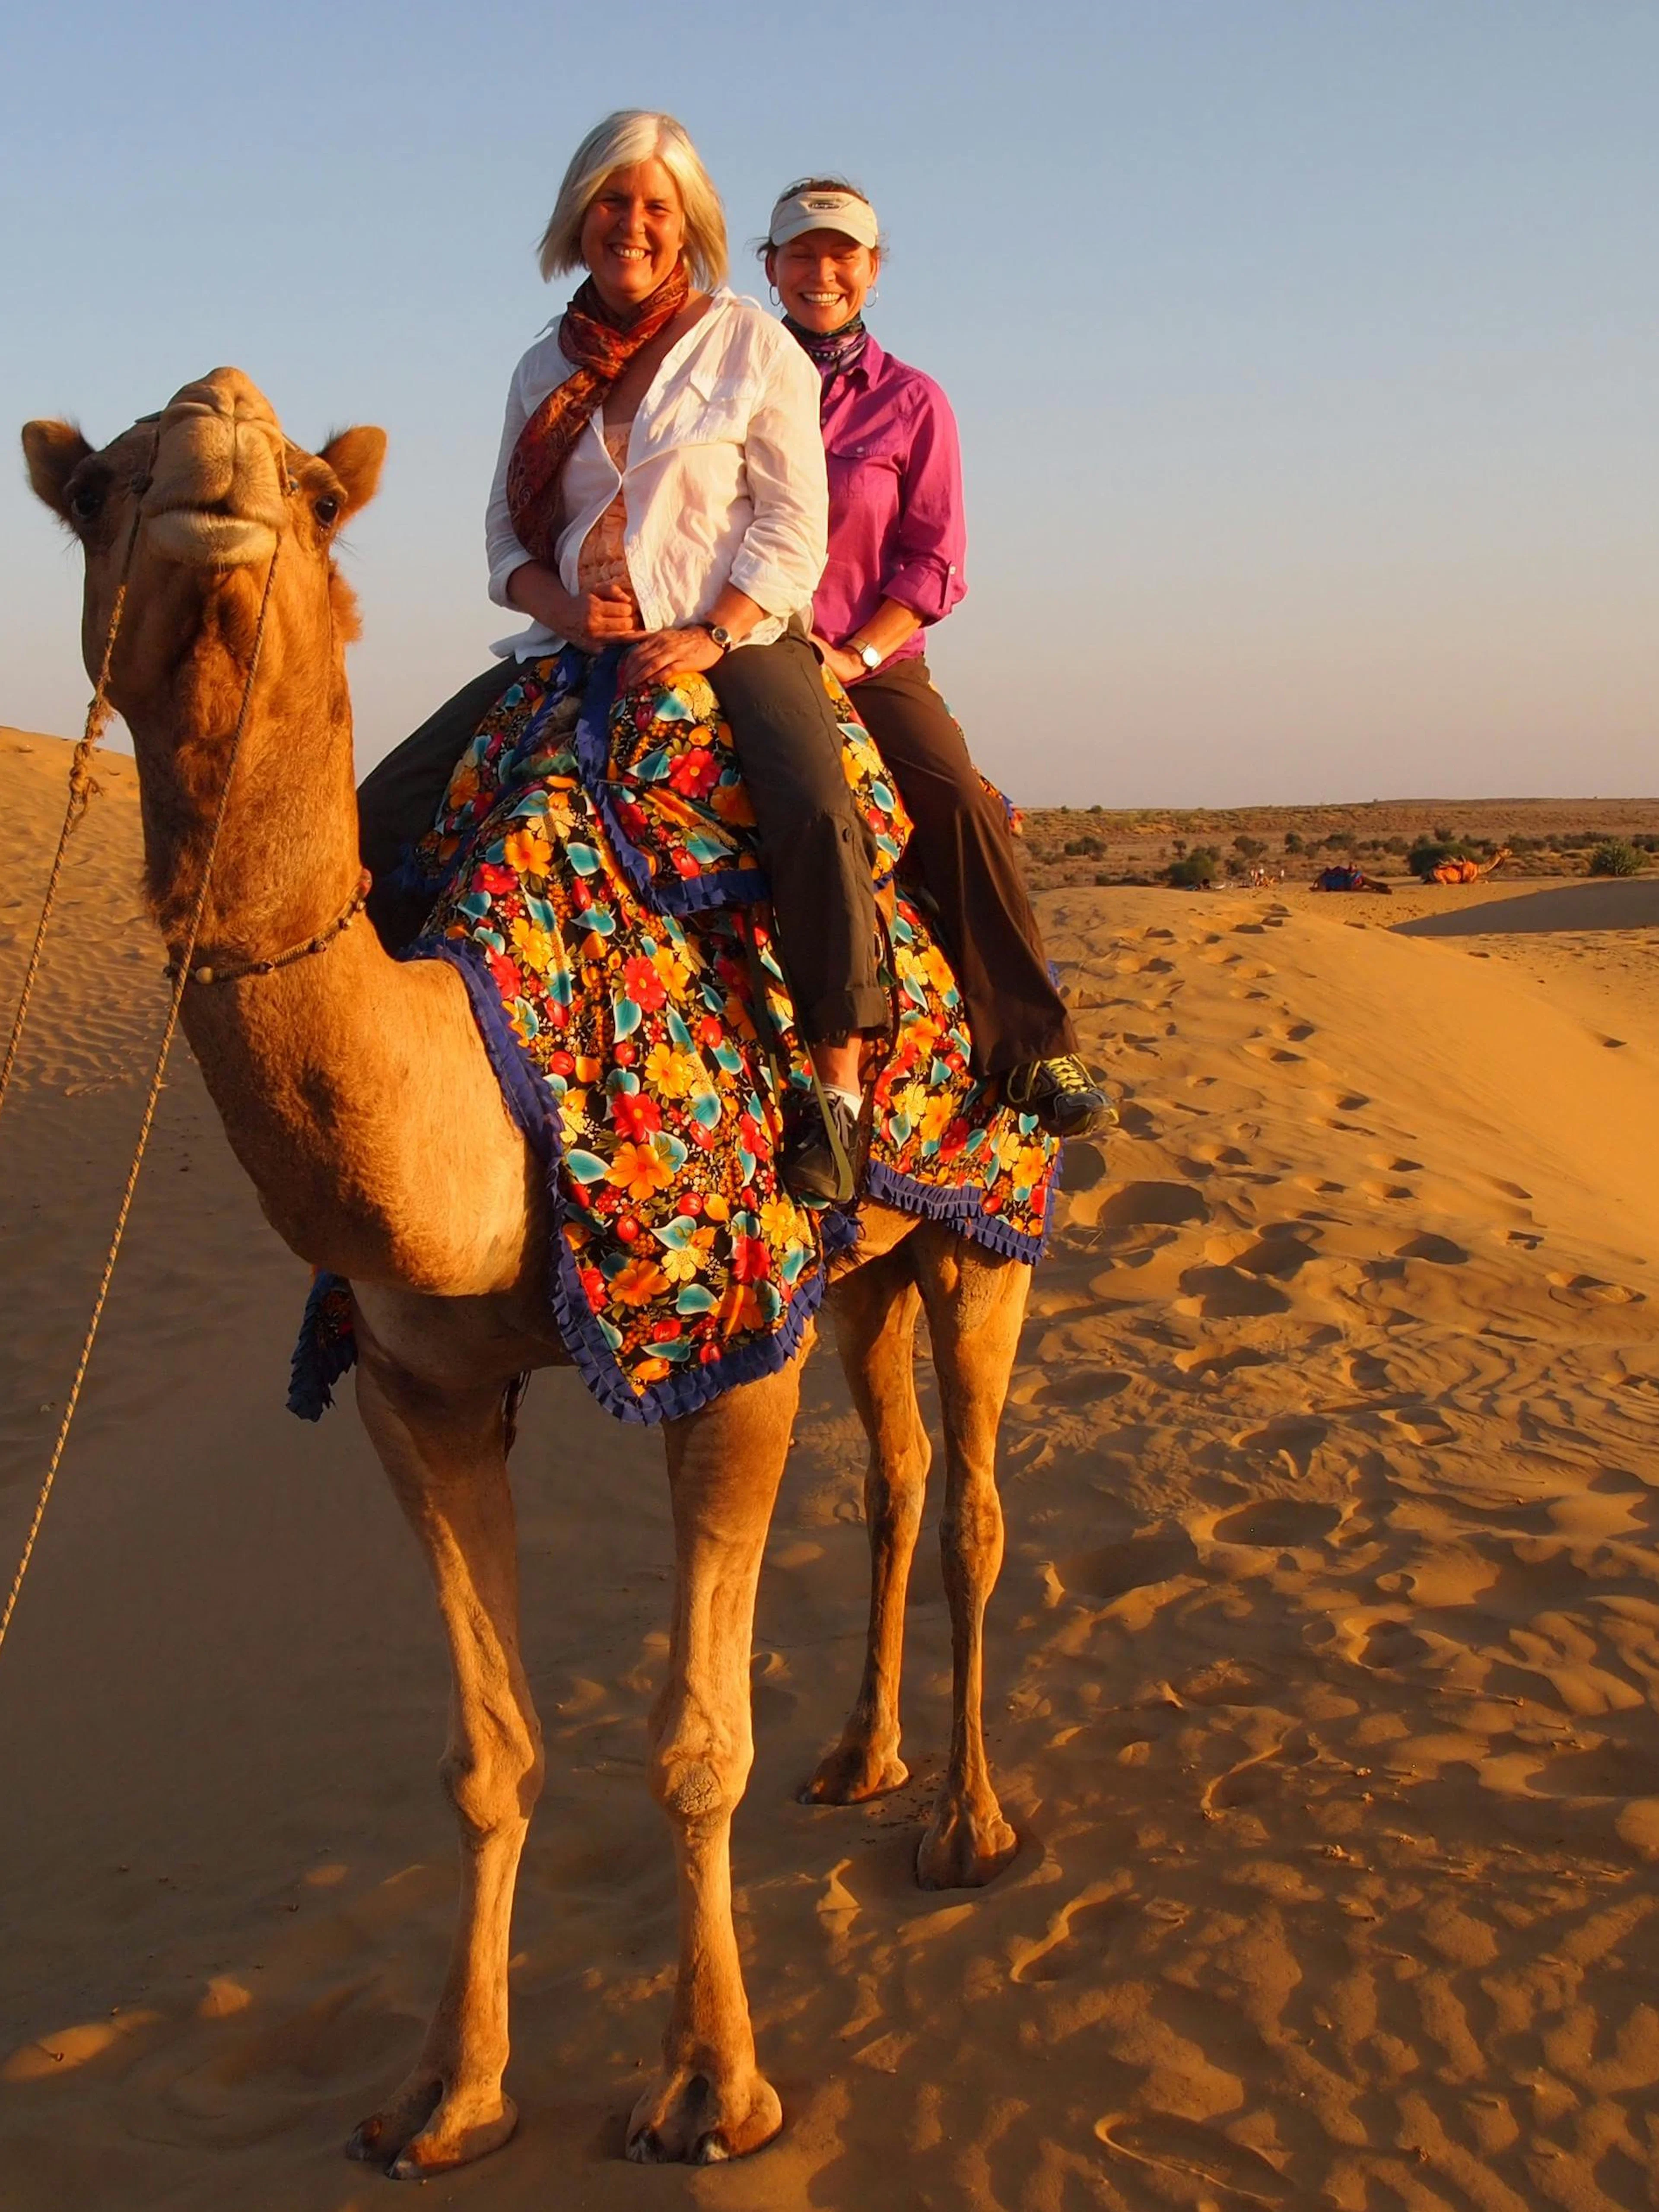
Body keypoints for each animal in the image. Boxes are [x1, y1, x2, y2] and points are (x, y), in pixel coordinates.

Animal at [22, 368, 1035, 2179]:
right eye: (103, 488)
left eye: (312, 489)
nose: (219, 451)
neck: (486, 1094)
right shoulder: (415, 1386)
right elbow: (486, 1757)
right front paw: (449, 2093)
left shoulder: (728, 1348)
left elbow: (697, 1744)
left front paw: (709, 2089)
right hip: (861, 1267)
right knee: (902, 1475)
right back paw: (862, 1761)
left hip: (987, 1229)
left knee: (977, 1499)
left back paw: (967, 1823)